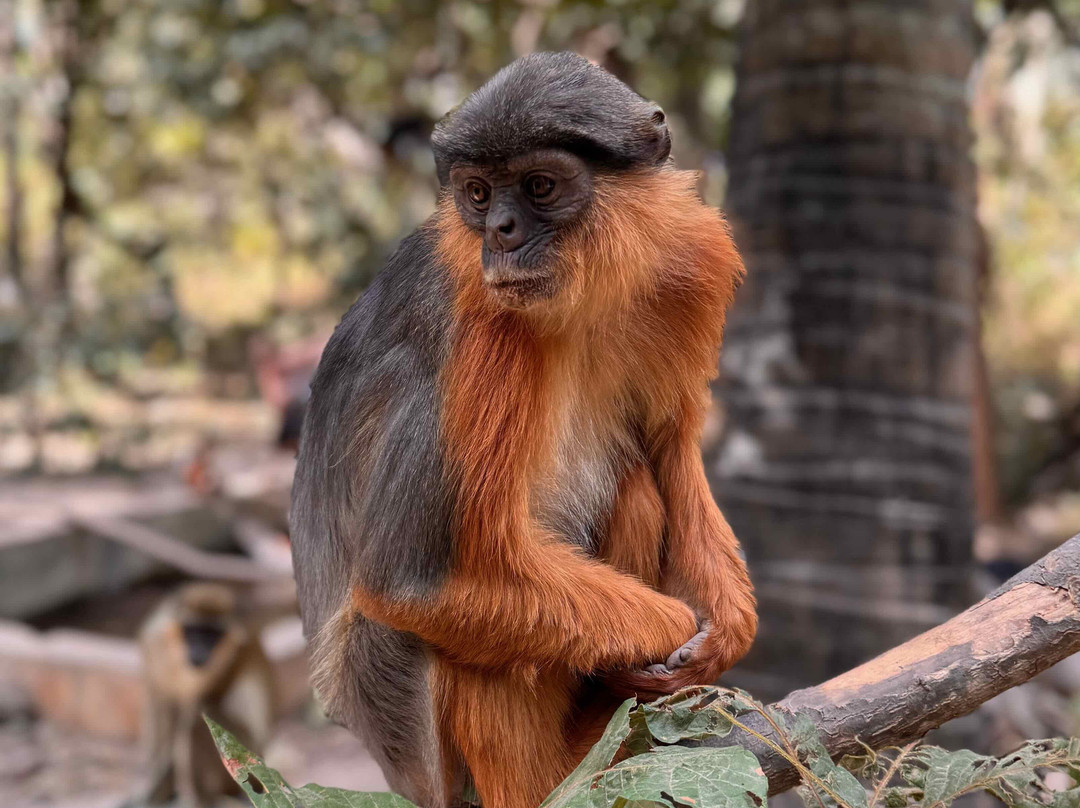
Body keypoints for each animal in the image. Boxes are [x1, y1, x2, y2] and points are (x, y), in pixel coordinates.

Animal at [135, 583, 275, 808]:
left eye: (212, 635)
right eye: (193, 632)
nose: (201, 649)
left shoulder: (228, 659)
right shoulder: (152, 642)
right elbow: (160, 708)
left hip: (248, 758)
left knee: (198, 721)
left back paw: (202, 799)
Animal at [290, 52, 757, 808]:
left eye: (539, 186)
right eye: (479, 195)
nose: (501, 232)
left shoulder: (687, 266)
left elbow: (671, 447)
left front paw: (726, 629)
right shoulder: (479, 324)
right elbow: (412, 583)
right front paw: (675, 625)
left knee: (637, 484)